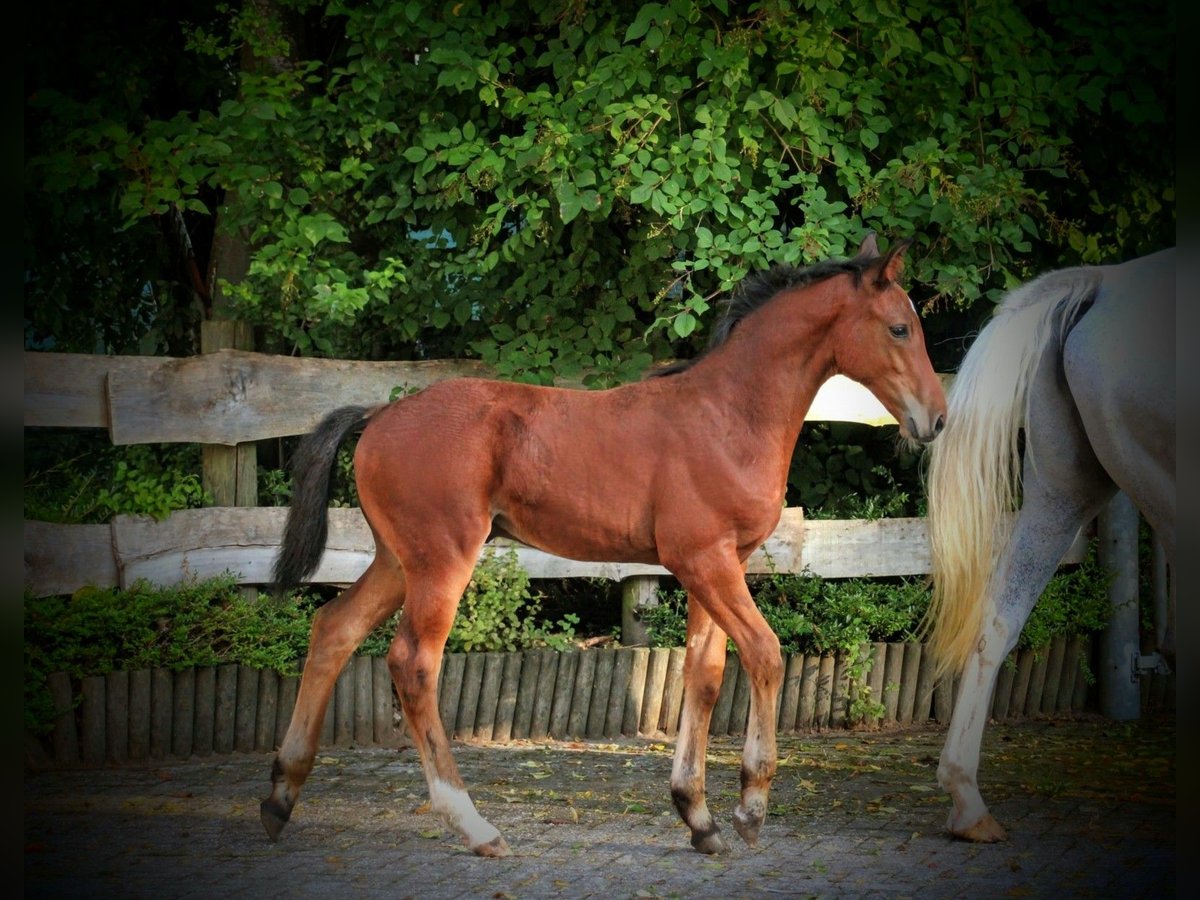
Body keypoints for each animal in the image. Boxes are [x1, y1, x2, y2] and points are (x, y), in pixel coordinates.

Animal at [260, 232, 945, 859]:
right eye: (898, 328)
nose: (935, 419)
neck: (727, 414)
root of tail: (377, 416)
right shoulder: (703, 560)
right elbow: (766, 654)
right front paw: (750, 808)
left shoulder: (717, 564)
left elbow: (705, 674)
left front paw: (698, 817)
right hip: (442, 559)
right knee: (412, 662)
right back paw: (474, 825)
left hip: (398, 560)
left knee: (334, 630)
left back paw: (280, 798)